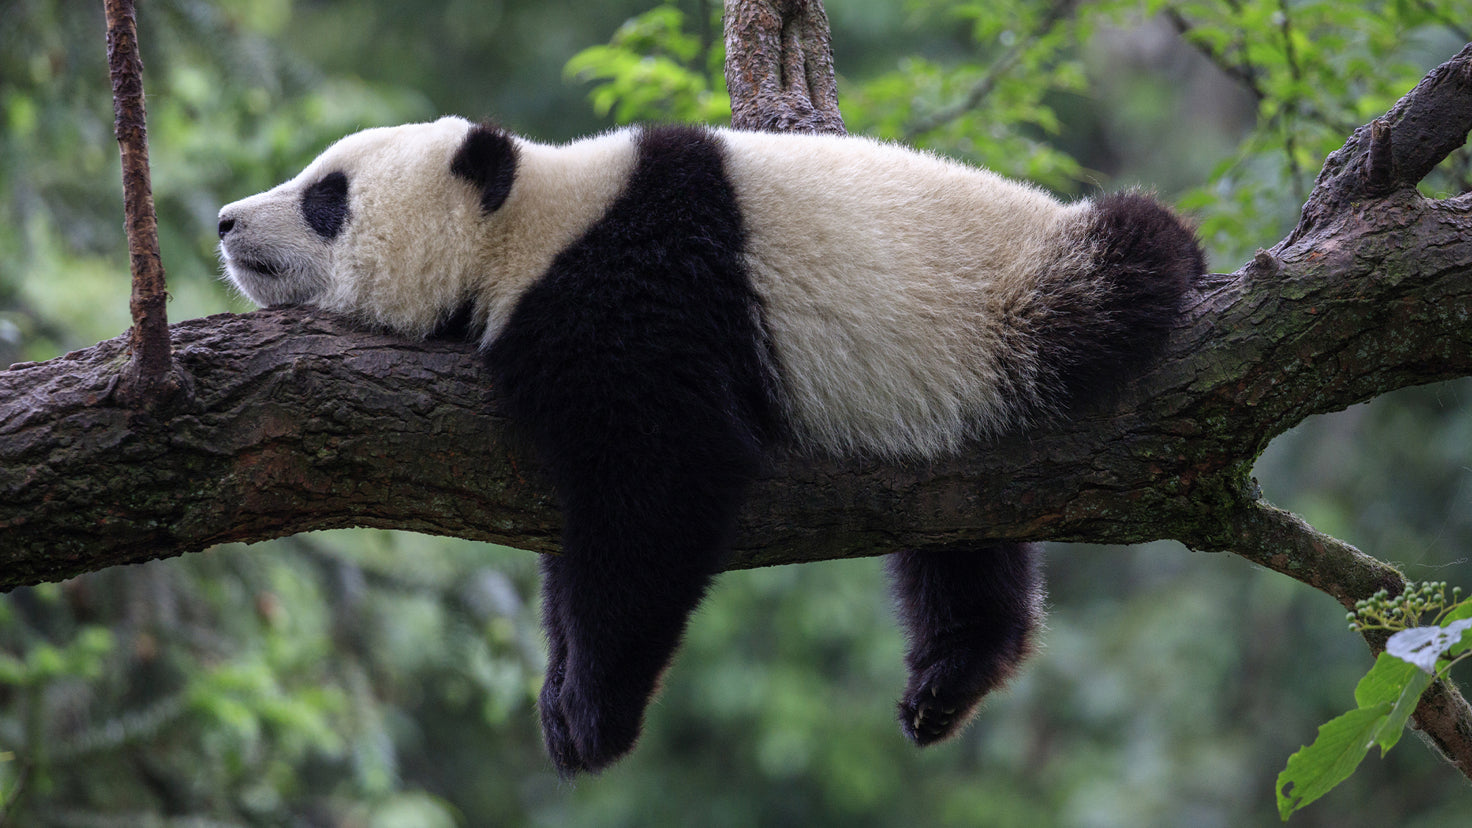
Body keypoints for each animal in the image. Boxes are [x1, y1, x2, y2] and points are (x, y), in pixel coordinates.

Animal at [218, 115, 1203, 777]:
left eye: (326, 196)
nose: (226, 221)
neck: (531, 223)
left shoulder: (638, 293)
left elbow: (661, 486)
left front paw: (591, 714)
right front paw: (561, 688)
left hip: (1014, 302)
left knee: (1124, 263)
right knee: (960, 540)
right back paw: (951, 676)